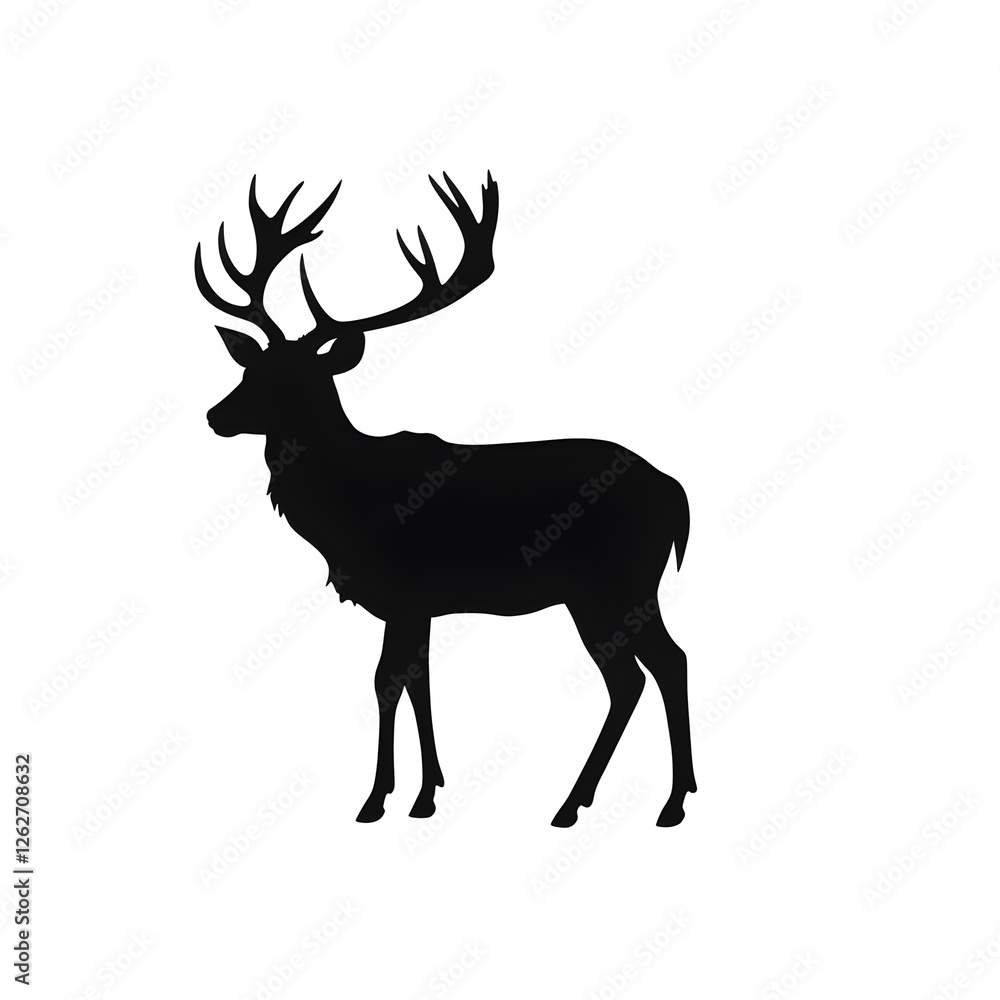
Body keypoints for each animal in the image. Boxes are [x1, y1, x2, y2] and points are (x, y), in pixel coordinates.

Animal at [195, 172, 695, 827]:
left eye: (294, 380)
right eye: (252, 368)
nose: (215, 415)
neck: (347, 512)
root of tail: (675, 492)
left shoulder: (406, 590)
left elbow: (388, 682)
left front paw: (380, 798)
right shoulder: (418, 604)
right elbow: (415, 681)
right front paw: (424, 792)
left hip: (618, 583)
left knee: (657, 667)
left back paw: (651, 802)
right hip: (605, 593)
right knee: (639, 675)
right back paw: (600, 800)